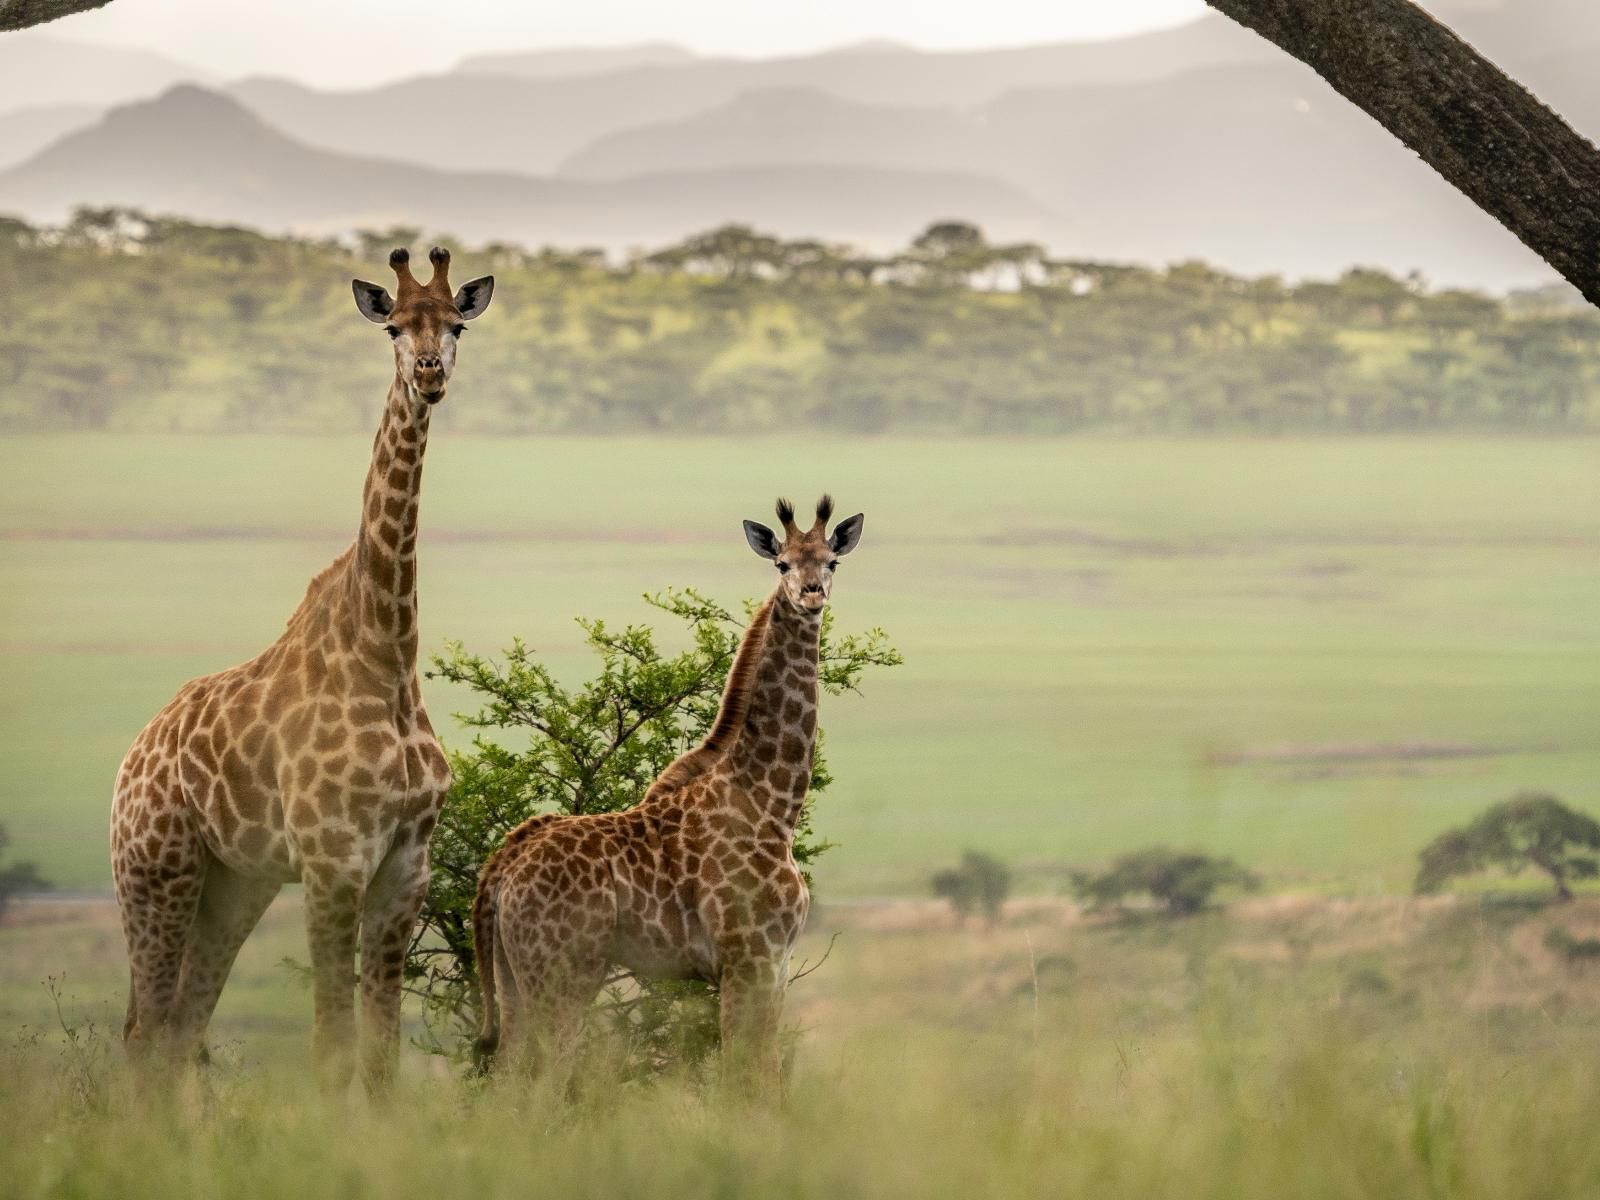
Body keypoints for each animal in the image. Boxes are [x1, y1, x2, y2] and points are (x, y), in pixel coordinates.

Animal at [110, 249, 492, 1094]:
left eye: (456, 325)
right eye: (392, 325)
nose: (428, 373)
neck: (386, 654)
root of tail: (132, 756)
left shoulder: (405, 867)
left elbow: (379, 1052)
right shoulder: (332, 859)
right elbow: (331, 1043)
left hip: (233, 886)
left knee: (180, 1027)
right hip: (155, 871)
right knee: (144, 1032)